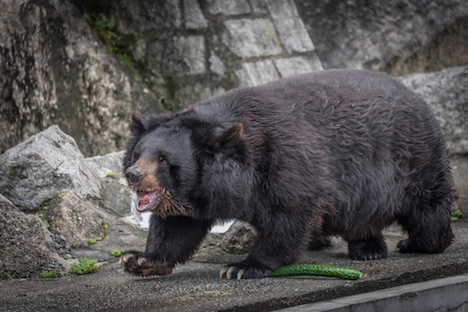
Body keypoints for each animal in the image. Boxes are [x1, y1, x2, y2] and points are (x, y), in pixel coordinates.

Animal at [119, 70, 454, 280]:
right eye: (138, 154)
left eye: (163, 159)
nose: (133, 175)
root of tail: (417, 96)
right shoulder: (195, 192)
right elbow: (177, 226)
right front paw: (139, 259)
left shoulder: (285, 162)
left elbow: (290, 215)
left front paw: (243, 266)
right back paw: (367, 248)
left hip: (413, 160)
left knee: (428, 209)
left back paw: (420, 243)